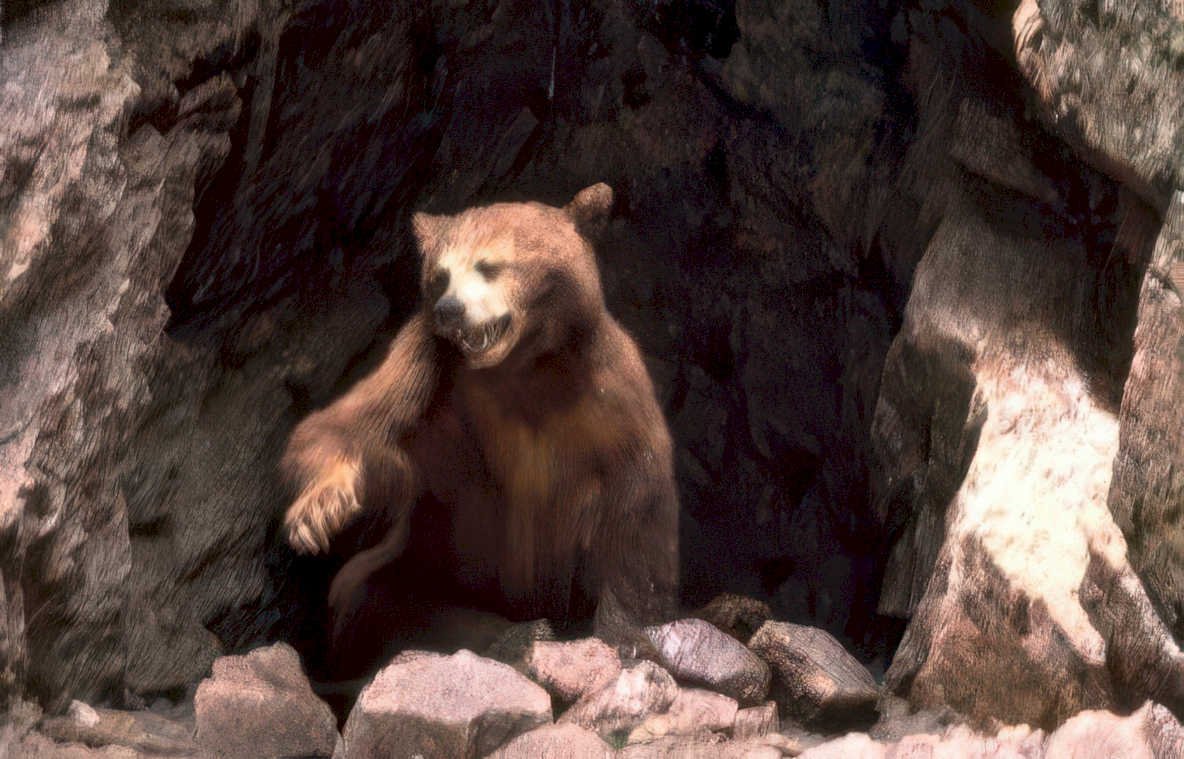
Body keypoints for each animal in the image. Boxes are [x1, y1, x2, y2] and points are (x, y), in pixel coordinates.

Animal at [280, 183, 678, 675]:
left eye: (489, 265)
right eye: (440, 274)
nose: (450, 309)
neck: (524, 371)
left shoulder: (608, 394)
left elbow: (636, 508)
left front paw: (628, 636)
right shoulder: (427, 366)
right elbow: (343, 426)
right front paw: (321, 507)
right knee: (372, 593)